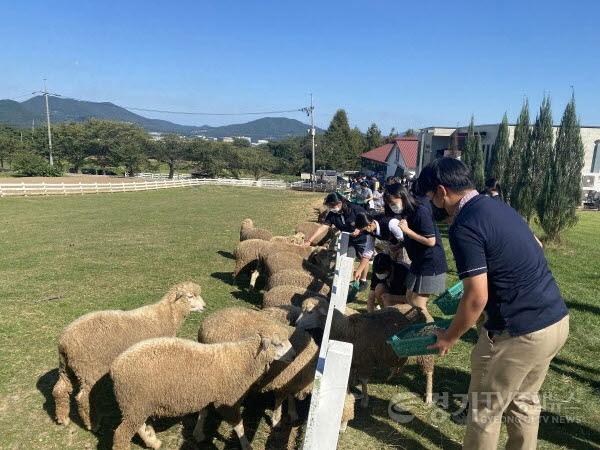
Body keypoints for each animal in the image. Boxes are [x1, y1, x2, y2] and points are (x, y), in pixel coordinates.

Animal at [296, 298, 434, 408]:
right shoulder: (354, 359)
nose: (296, 323)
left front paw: (365, 400)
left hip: (426, 350)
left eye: (310, 311)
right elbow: (349, 376)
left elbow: (363, 380)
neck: (347, 329)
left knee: (429, 373)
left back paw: (428, 397)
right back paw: (392, 375)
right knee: (401, 360)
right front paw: (349, 391)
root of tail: (419, 309)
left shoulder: (365, 361)